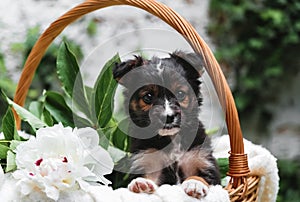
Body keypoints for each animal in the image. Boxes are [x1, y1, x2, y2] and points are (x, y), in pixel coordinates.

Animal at [112, 51, 220, 199]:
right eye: (148, 97)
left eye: (180, 94)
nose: (167, 117)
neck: (171, 139)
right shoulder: (148, 160)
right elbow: (148, 177)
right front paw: (141, 183)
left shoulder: (202, 160)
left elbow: (201, 177)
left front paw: (194, 183)